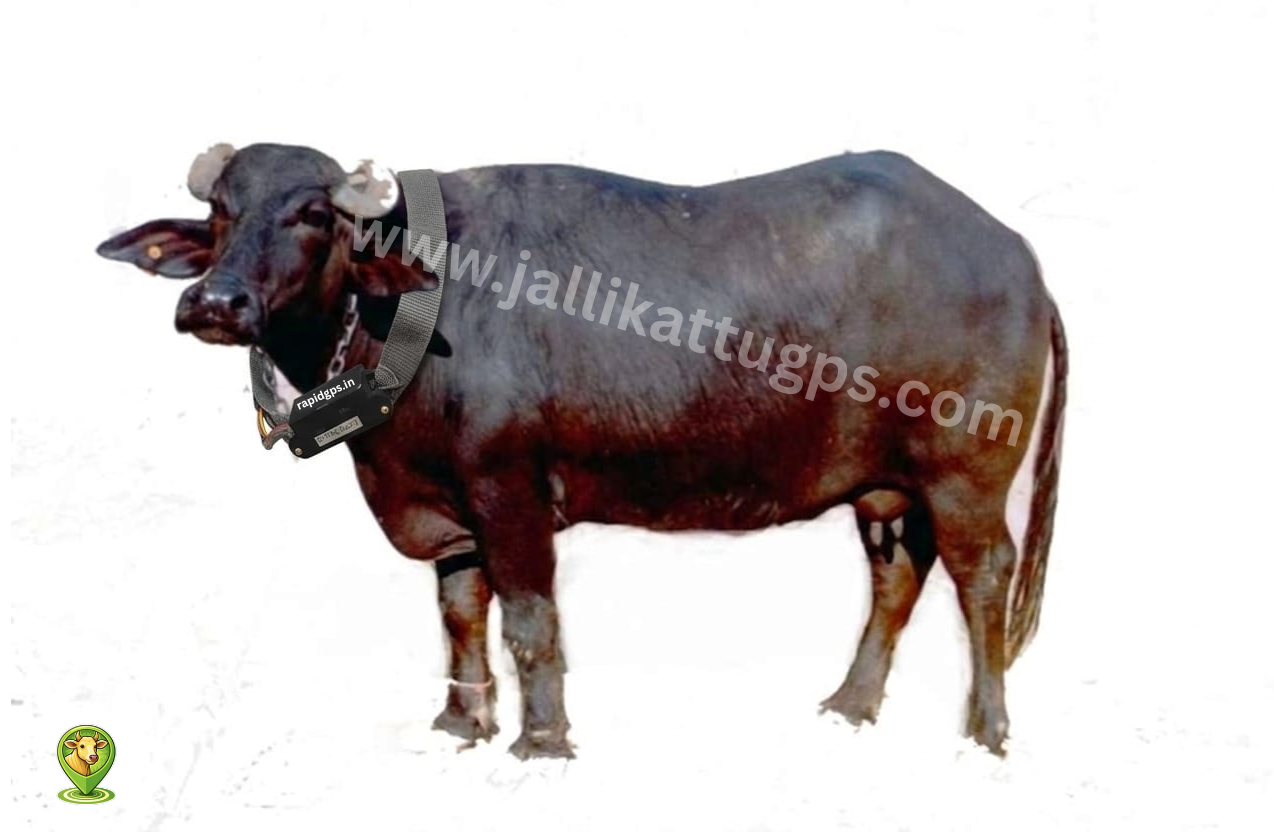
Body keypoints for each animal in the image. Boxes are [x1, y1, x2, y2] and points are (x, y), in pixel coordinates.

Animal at [96, 142, 1066, 759]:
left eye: (309, 214)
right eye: (220, 213)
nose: (215, 304)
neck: (410, 311)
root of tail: (1015, 253)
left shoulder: (511, 493)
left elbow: (531, 624)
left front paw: (542, 742)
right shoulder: (448, 513)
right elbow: (460, 616)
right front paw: (461, 726)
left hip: (966, 476)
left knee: (984, 578)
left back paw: (985, 732)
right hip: (885, 487)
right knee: (897, 576)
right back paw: (850, 707)